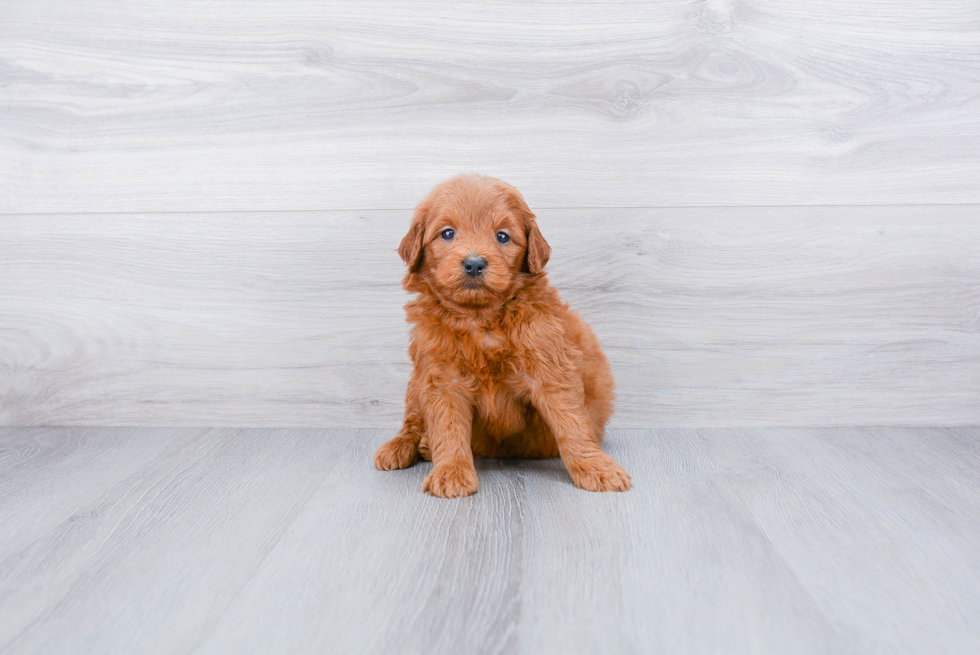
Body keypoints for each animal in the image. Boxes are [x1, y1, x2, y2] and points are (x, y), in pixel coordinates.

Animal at [372, 174, 632, 498]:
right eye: (447, 234)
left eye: (503, 237)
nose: (474, 263)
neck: (480, 318)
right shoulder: (442, 377)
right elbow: (447, 427)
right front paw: (451, 471)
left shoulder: (550, 369)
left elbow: (571, 423)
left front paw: (595, 466)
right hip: (415, 385)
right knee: (412, 422)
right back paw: (404, 446)